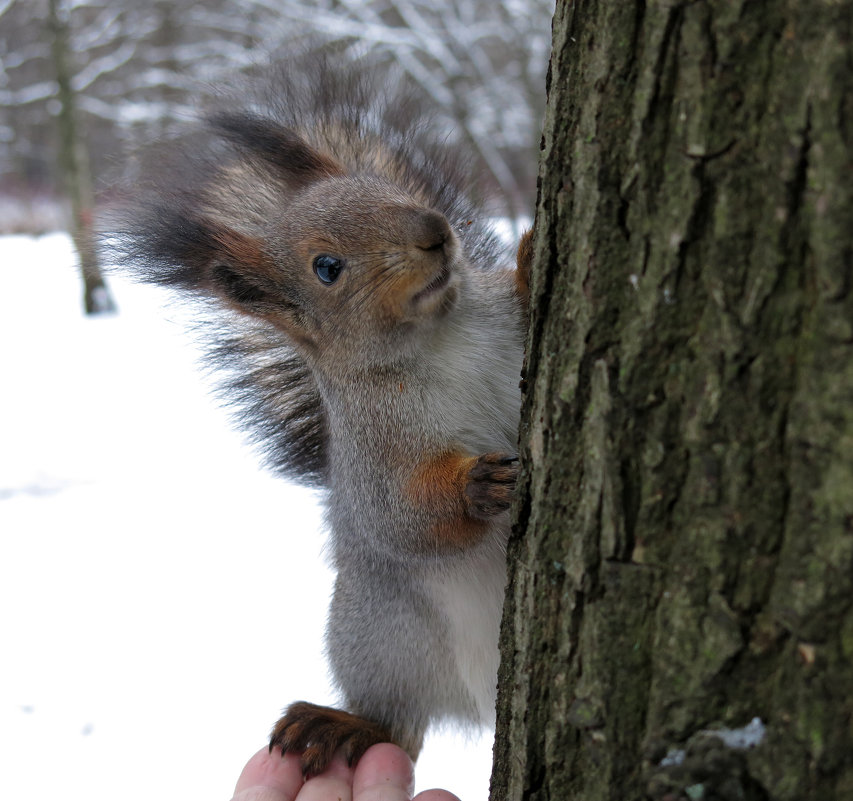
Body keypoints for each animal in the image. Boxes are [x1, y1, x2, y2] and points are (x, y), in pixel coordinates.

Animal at [118, 54, 532, 776]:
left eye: (381, 190)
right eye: (327, 267)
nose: (433, 232)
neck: (438, 336)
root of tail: (482, 695)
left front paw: (533, 259)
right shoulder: (373, 448)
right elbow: (397, 518)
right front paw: (472, 487)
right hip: (380, 634)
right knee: (398, 723)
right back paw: (343, 725)